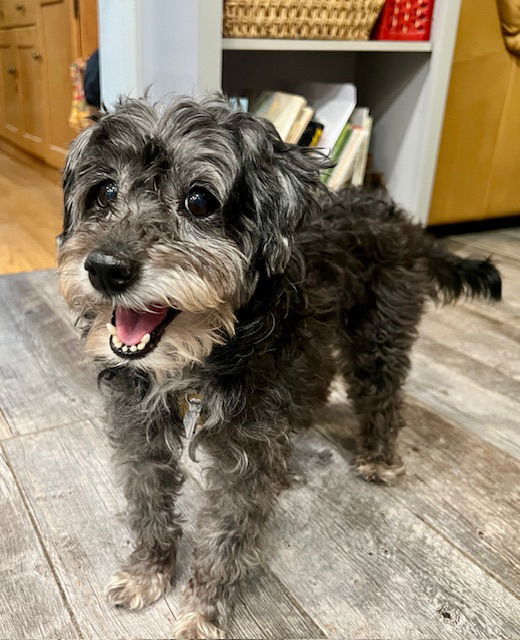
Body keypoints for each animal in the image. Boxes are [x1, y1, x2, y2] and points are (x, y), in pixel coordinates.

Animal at [59, 95, 502, 640]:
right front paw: (148, 573)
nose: (106, 269)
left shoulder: (244, 454)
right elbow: (148, 507)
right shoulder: (138, 433)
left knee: (382, 394)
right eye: (104, 191)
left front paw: (202, 612)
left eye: (199, 201)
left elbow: (224, 536)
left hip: (378, 335)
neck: (198, 355)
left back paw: (379, 457)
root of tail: (406, 224)